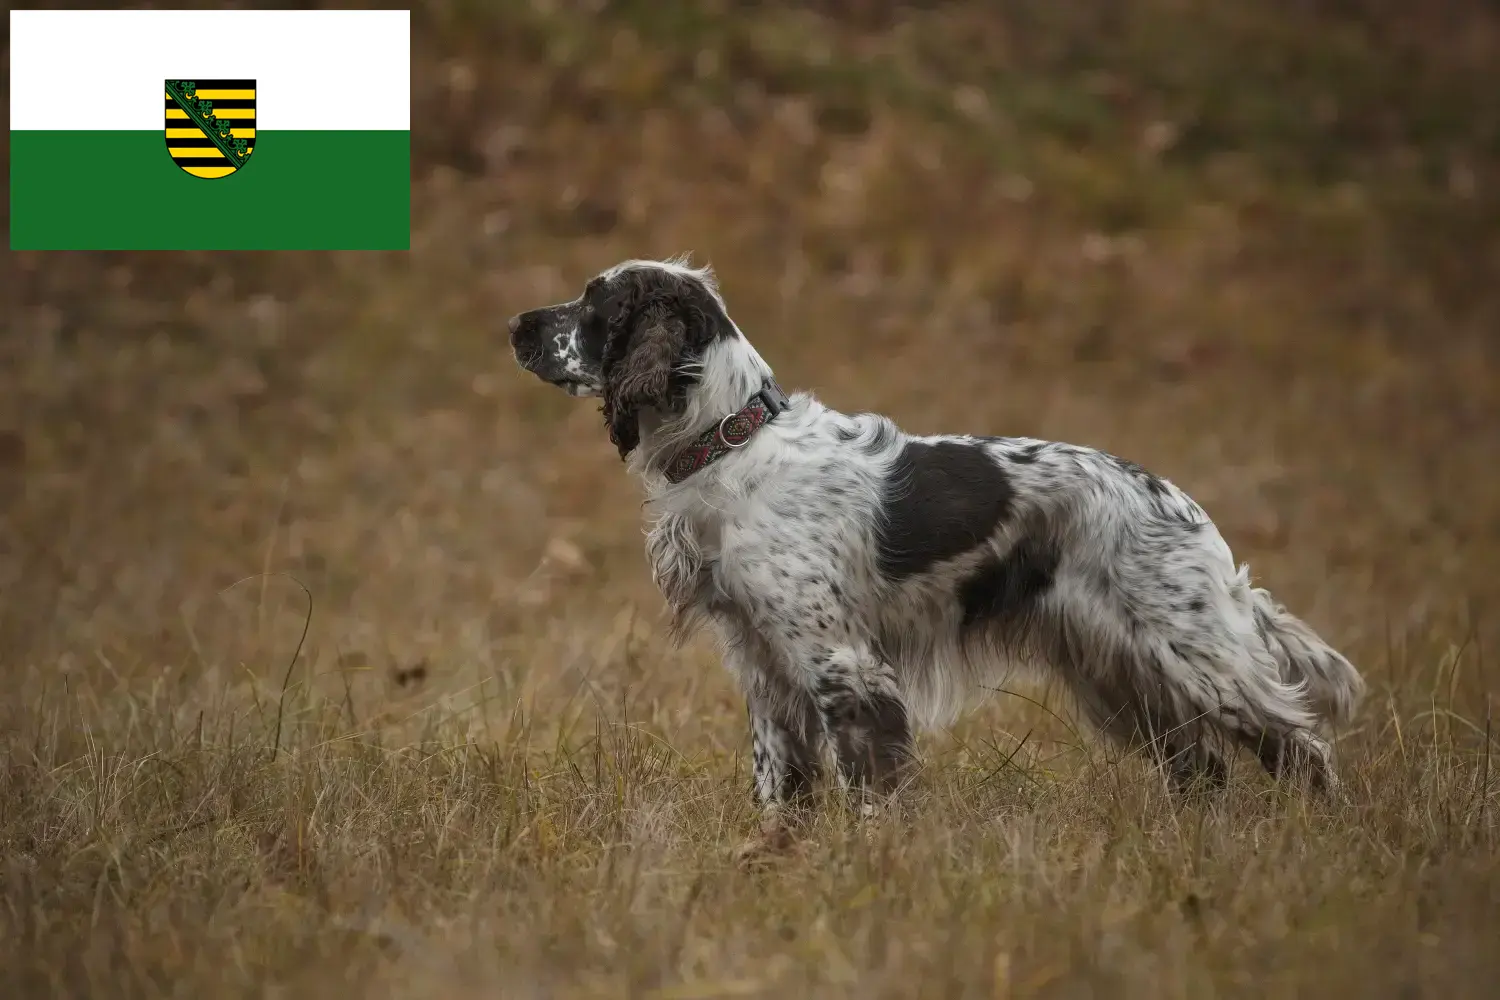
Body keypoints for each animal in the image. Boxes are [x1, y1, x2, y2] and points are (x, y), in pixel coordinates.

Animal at [510, 260, 1368, 845]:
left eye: (594, 306)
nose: (516, 324)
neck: (734, 442)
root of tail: (1188, 510)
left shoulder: (843, 666)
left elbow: (871, 785)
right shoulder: (767, 669)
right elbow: (781, 788)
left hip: (1196, 656)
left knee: (1300, 743)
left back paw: (1324, 835)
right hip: (1118, 675)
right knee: (1206, 768)